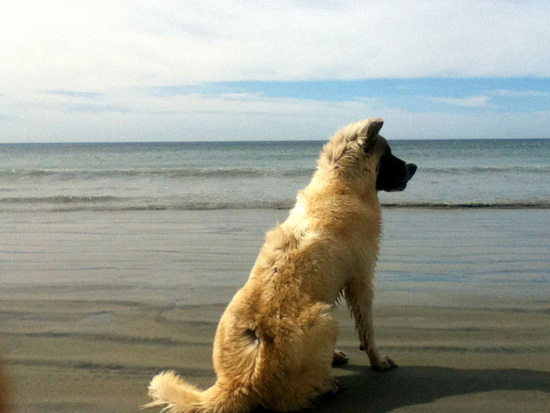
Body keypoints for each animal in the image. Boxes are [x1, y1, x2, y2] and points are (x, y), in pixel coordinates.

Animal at [146, 117, 418, 410]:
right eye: (388, 155)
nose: (414, 167)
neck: (340, 181)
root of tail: (238, 383)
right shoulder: (362, 278)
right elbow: (368, 330)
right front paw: (378, 361)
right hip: (325, 318)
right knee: (290, 400)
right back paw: (326, 386)